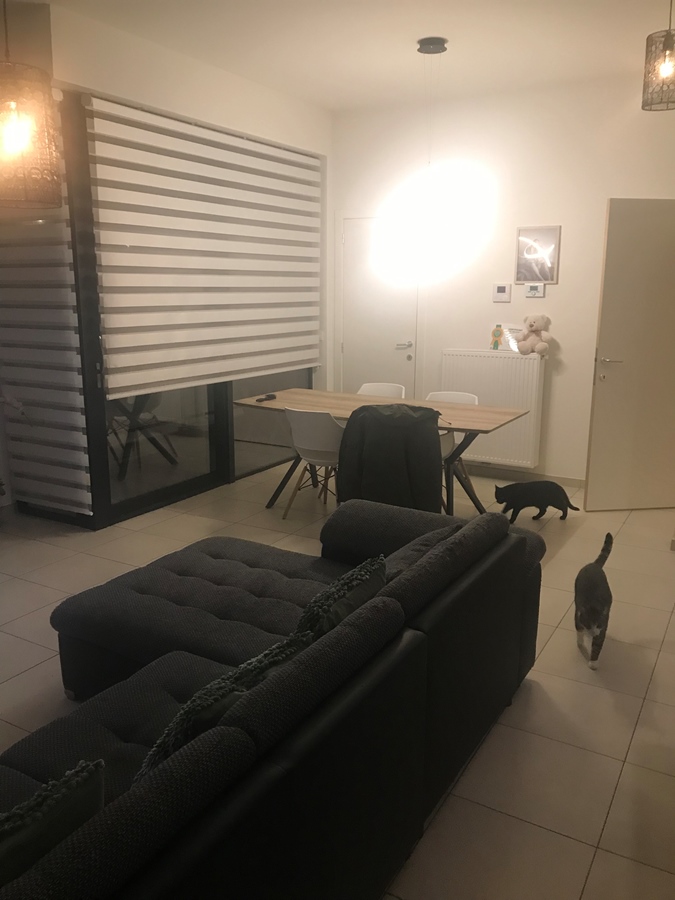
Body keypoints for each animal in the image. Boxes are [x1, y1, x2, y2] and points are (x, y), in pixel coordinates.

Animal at [574, 533, 613, 669]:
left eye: (598, 625)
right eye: (588, 624)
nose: (593, 633)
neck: (593, 604)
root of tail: (594, 565)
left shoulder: (604, 627)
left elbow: (597, 647)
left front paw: (593, 663)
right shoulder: (577, 616)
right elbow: (579, 630)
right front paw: (580, 642)